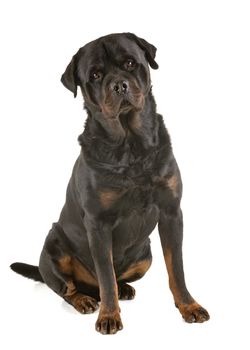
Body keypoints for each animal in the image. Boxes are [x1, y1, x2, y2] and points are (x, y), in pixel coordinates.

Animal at [10, 33, 209, 336]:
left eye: (130, 63)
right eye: (95, 74)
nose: (119, 85)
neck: (131, 145)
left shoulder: (171, 213)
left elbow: (176, 268)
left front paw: (189, 306)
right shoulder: (98, 224)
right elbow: (105, 276)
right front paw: (109, 316)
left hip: (145, 256)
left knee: (113, 279)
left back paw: (124, 288)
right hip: (53, 246)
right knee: (69, 287)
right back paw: (84, 300)